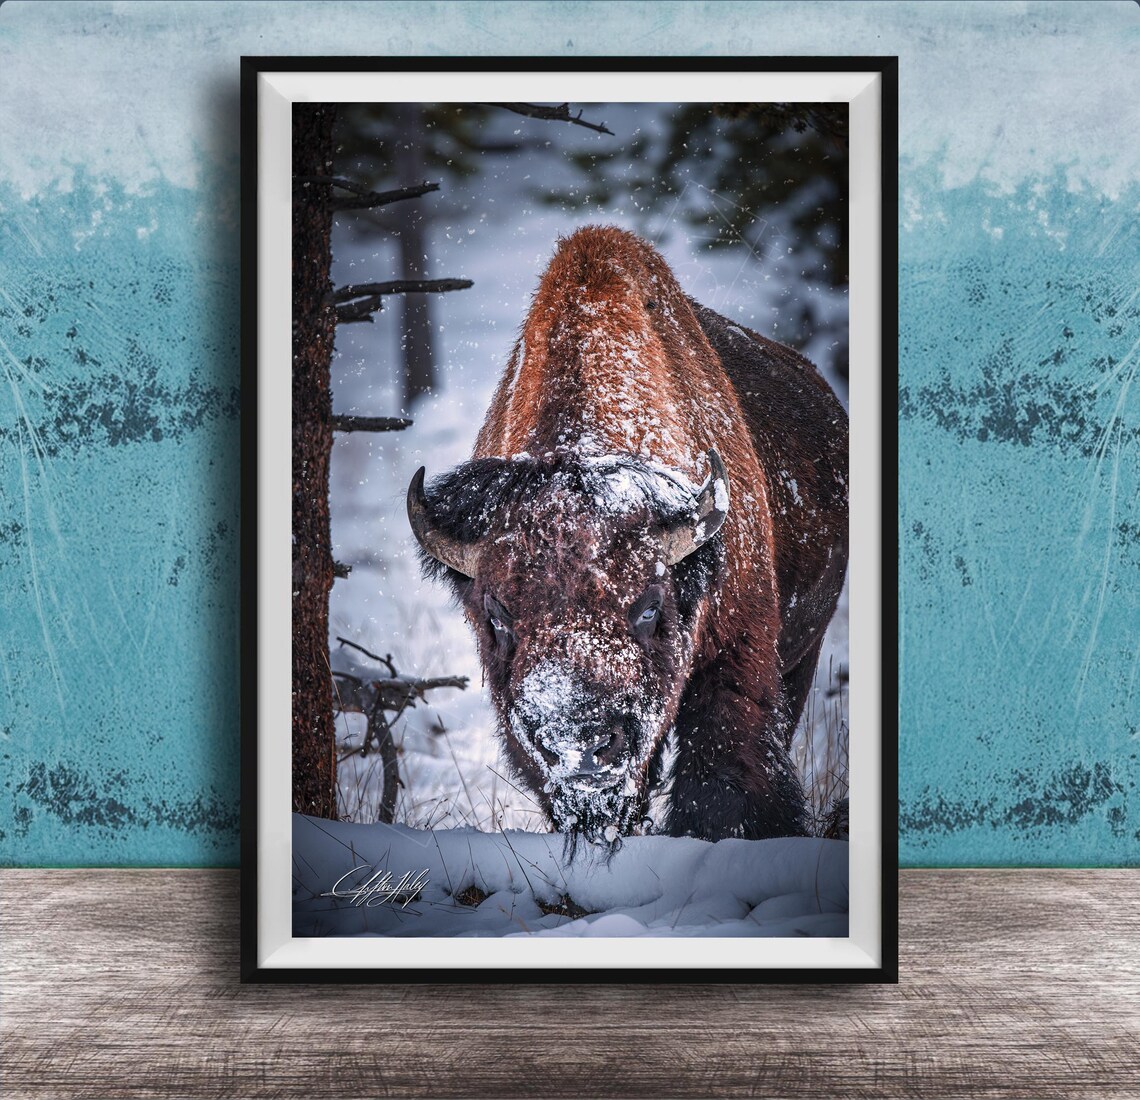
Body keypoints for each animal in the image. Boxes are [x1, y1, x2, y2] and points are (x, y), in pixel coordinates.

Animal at [408, 226, 848, 844]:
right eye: (496, 614)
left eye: (649, 607)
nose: (579, 746)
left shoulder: (738, 658)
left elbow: (723, 776)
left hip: (803, 652)